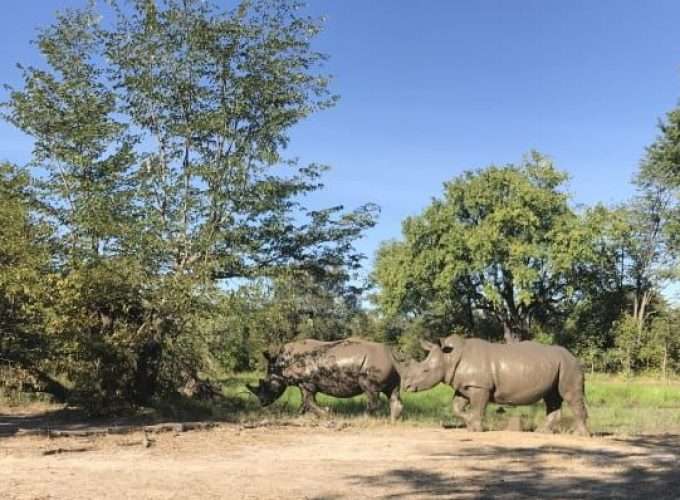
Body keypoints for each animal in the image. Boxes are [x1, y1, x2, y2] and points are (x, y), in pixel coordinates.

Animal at [247, 338, 404, 420]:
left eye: (266, 384)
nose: (262, 402)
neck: (281, 364)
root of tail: (391, 354)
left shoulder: (306, 383)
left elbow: (308, 401)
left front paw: (327, 413)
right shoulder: (304, 384)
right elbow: (305, 402)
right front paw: (298, 417)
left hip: (371, 368)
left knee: (371, 392)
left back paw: (363, 418)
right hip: (389, 368)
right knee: (393, 392)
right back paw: (393, 420)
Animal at [402, 334, 588, 436]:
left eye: (425, 370)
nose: (407, 386)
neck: (450, 357)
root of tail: (575, 357)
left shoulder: (480, 387)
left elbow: (477, 408)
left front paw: (476, 429)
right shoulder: (465, 386)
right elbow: (456, 407)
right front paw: (469, 425)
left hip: (569, 365)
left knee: (569, 395)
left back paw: (580, 435)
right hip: (556, 365)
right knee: (552, 397)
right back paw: (542, 432)